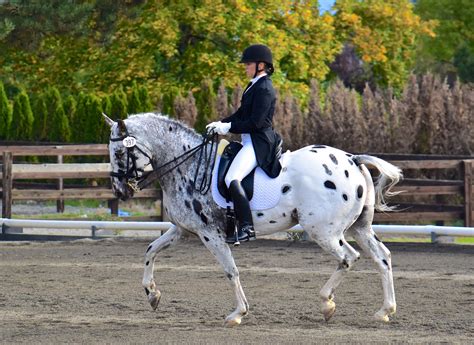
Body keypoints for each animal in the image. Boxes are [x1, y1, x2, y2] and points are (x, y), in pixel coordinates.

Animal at [104, 112, 404, 326]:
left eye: (118, 152)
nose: (120, 191)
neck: (189, 165)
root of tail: (353, 159)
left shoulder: (210, 234)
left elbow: (230, 270)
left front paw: (237, 313)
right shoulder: (182, 229)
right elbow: (150, 250)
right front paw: (152, 295)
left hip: (323, 231)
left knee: (349, 257)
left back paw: (326, 304)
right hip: (358, 228)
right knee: (383, 257)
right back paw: (384, 311)